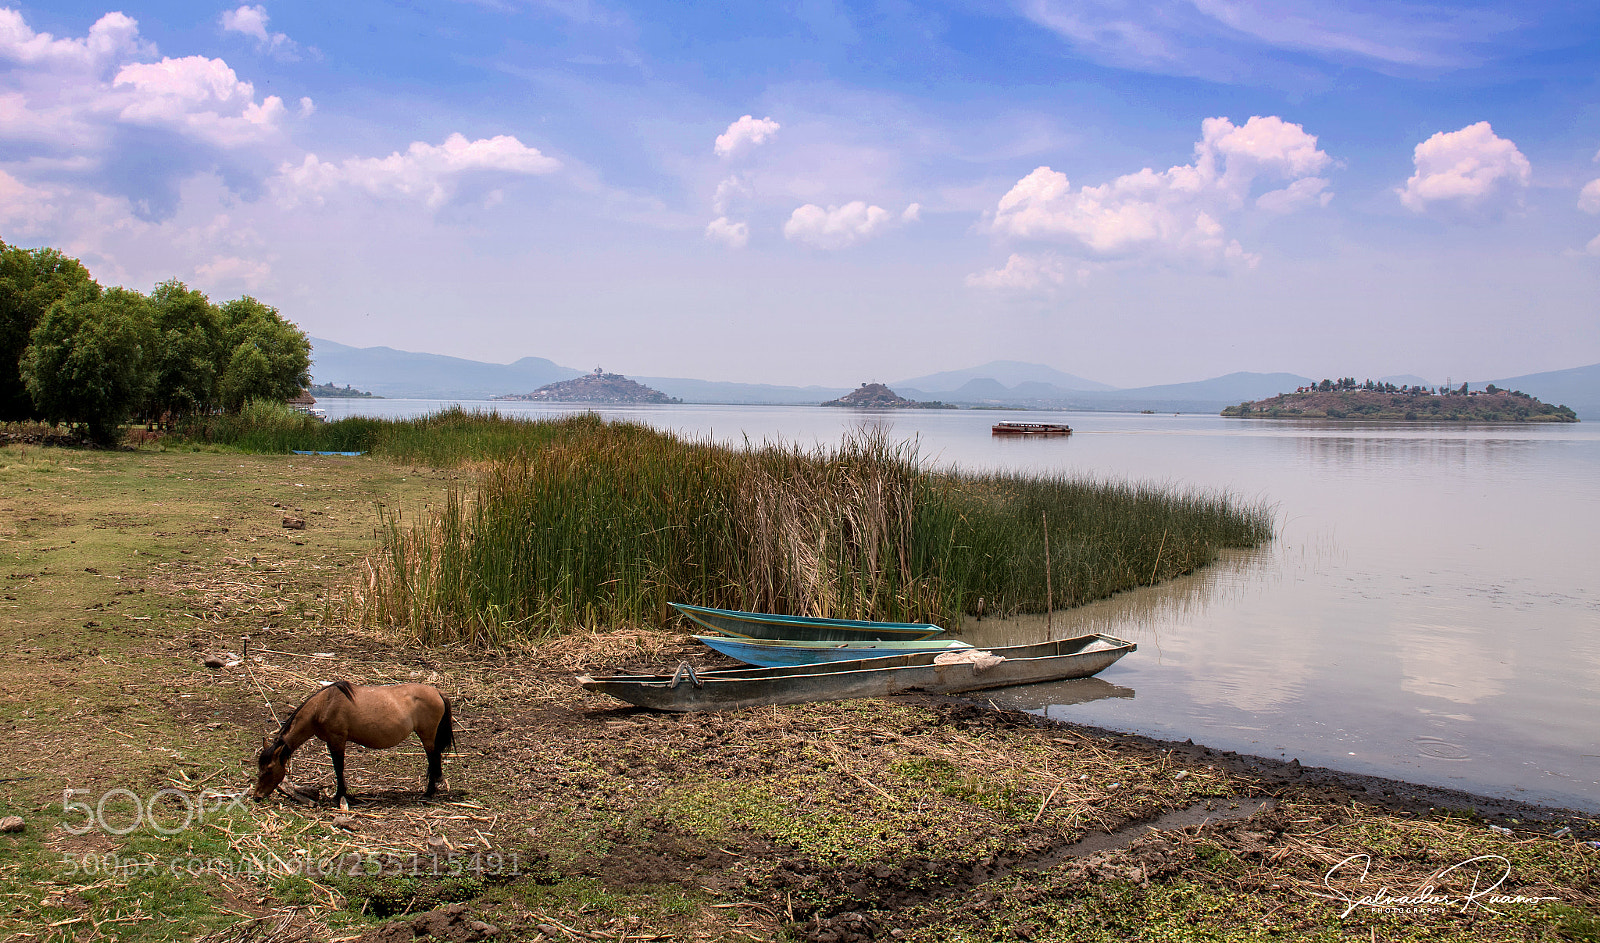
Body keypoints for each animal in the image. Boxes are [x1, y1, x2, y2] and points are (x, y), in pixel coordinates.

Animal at [252, 680, 454, 808]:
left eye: (269, 769)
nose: (257, 797)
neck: (323, 706)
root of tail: (438, 693)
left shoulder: (337, 740)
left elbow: (339, 768)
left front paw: (340, 795)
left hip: (427, 736)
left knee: (433, 759)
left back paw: (428, 792)